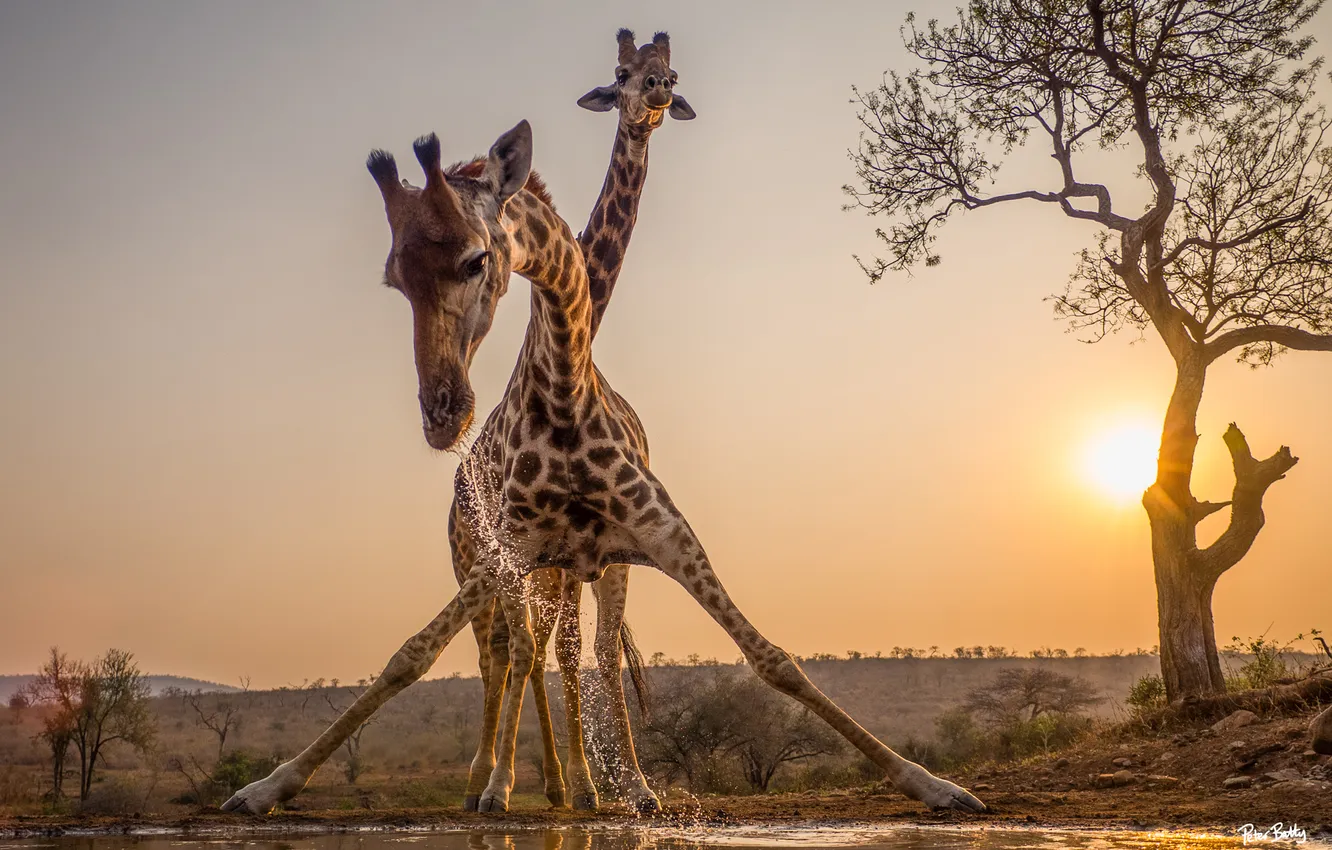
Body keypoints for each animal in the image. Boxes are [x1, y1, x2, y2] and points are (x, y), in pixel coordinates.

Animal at [221, 119, 987, 816]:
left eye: (474, 260)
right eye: (393, 279)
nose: (441, 413)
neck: (565, 391)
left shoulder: (664, 536)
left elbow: (772, 657)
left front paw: (934, 784)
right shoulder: (511, 552)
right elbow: (408, 655)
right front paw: (266, 787)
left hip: (593, 569)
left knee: (580, 655)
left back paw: (604, 790)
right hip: (504, 566)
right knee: (509, 654)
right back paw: (498, 786)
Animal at [458, 28, 695, 815]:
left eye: (670, 71)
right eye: (619, 72)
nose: (653, 94)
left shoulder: (595, 552)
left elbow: (588, 654)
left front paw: (625, 789)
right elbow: (542, 651)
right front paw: (507, 786)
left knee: (532, 650)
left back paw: (564, 787)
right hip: (474, 562)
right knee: (500, 651)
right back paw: (488, 780)